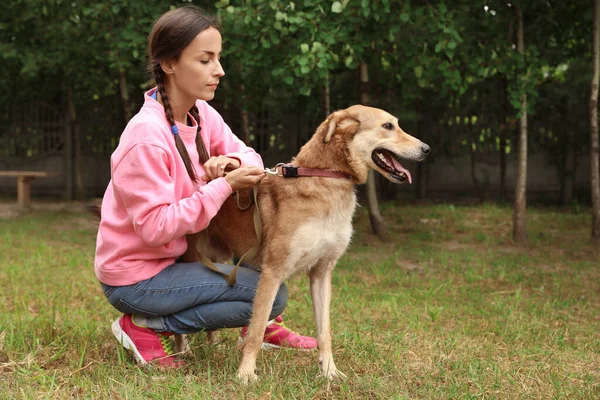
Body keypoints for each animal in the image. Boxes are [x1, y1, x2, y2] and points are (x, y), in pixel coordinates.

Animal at [180, 104, 428, 382]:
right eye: (388, 126)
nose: (427, 149)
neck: (325, 177)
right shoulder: (272, 273)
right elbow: (256, 329)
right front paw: (245, 374)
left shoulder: (322, 273)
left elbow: (324, 332)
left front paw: (329, 371)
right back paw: (182, 352)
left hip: (222, 260)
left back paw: (213, 346)